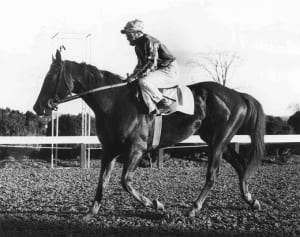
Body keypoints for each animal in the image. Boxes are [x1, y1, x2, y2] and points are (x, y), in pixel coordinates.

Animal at [34, 50, 266, 218]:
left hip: (218, 141)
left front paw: (157, 204)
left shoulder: (136, 149)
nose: (38, 107)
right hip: (217, 140)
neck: (114, 103)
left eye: (50, 76)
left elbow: (125, 181)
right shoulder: (109, 149)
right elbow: (103, 181)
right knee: (240, 165)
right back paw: (251, 200)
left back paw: (193, 208)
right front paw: (90, 213)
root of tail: (237, 95)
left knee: (213, 174)